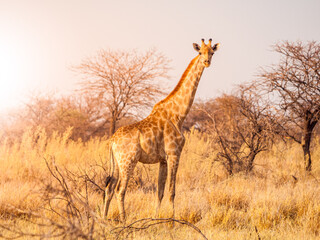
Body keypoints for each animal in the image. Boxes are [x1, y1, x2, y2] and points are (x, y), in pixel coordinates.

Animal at [102, 39, 220, 221]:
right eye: (200, 52)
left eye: (212, 52)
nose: (207, 62)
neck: (178, 114)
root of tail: (112, 141)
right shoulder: (174, 154)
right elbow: (172, 191)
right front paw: (172, 221)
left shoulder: (163, 160)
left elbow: (160, 191)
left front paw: (156, 218)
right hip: (128, 161)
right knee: (119, 190)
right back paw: (124, 220)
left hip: (116, 163)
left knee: (109, 188)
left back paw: (104, 219)